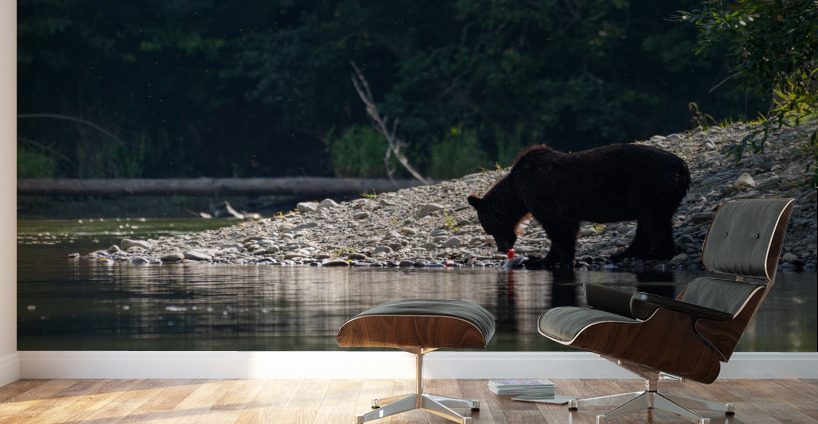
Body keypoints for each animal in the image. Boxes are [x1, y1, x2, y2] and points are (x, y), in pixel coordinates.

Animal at [467, 143, 690, 267]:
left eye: (489, 229)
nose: (502, 249)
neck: (517, 193)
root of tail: (682, 166)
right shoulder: (563, 207)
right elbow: (564, 229)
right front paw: (543, 259)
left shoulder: (543, 195)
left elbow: (559, 230)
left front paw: (561, 261)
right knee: (646, 224)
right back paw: (624, 253)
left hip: (652, 187)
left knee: (654, 221)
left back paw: (654, 254)